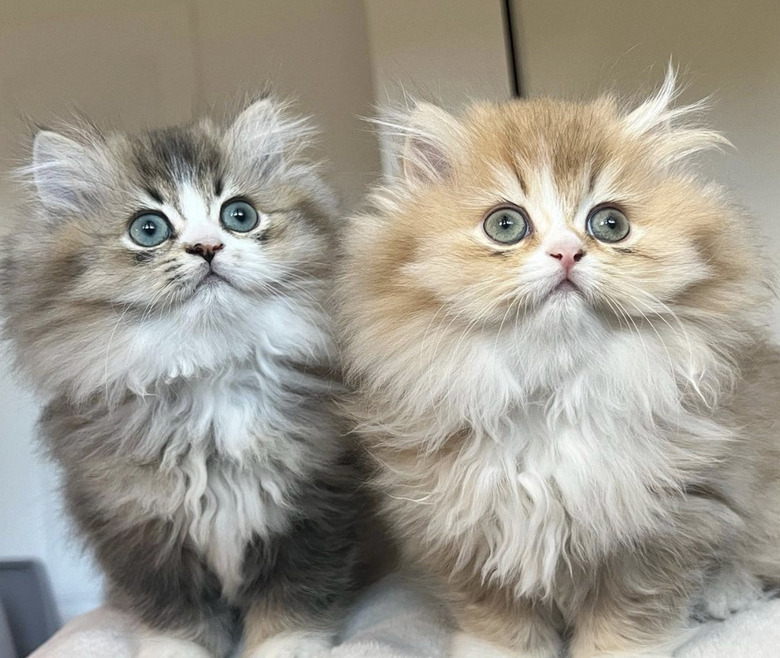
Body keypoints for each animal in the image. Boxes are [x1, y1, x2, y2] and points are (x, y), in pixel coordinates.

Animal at [1, 98, 362, 656]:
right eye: (148, 229)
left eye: (240, 215)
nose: (207, 247)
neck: (208, 374)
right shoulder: (135, 526)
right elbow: (176, 616)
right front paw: (178, 649)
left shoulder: (314, 503)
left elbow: (294, 599)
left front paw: (286, 647)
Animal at [338, 69, 780, 652]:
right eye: (505, 225)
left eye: (610, 224)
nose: (567, 252)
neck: (550, 398)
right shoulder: (458, 526)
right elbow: (498, 616)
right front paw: (497, 651)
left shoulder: (671, 522)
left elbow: (629, 615)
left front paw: (620, 651)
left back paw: (727, 594)